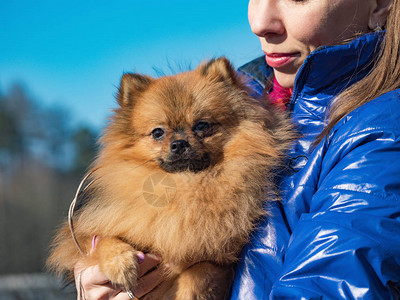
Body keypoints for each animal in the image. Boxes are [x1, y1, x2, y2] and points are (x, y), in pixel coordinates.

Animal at [48, 57, 296, 298]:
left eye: (202, 125)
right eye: (158, 132)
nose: (179, 143)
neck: (185, 185)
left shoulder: (220, 261)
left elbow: (199, 272)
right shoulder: (83, 237)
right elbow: (105, 239)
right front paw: (120, 263)